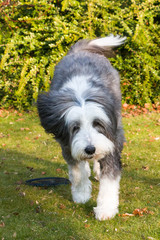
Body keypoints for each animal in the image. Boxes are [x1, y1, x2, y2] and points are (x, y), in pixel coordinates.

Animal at [37, 34, 126, 220]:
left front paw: (105, 209)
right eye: (75, 127)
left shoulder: (113, 138)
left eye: (97, 123)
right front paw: (81, 194)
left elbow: (109, 179)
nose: (90, 149)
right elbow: (77, 170)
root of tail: (80, 52)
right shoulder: (67, 143)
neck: (81, 92)